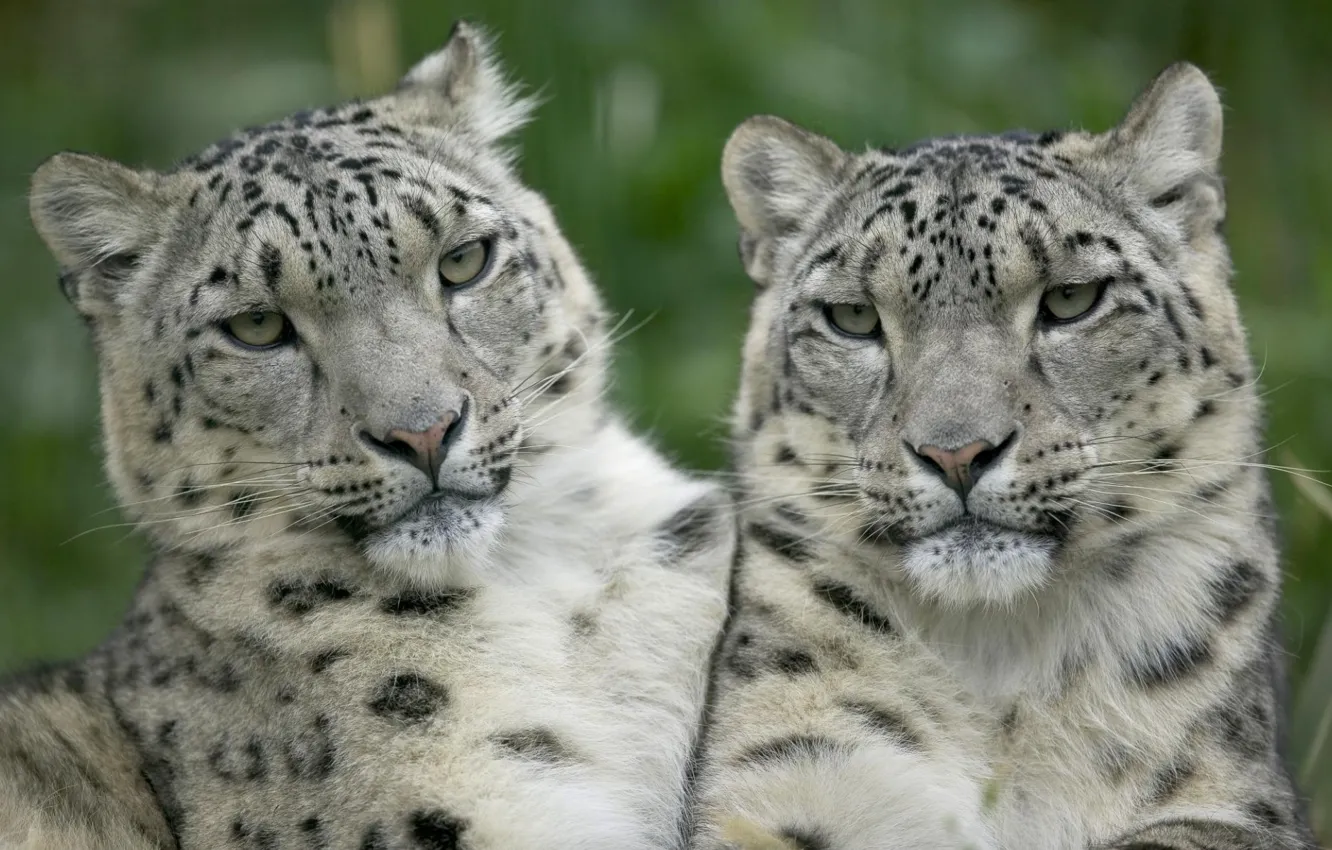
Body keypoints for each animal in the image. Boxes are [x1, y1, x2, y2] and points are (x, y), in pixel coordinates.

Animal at [687, 63, 1318, 849]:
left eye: (1073, 298)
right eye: (853, 317)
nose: (956, 452)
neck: (997, 665)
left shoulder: (1229, 805)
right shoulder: (783, 780)